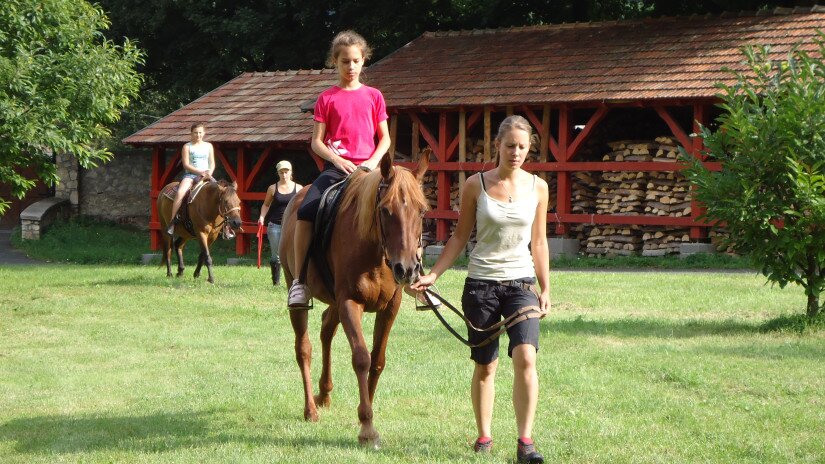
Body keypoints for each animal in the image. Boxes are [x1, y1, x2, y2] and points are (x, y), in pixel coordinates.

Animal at [278, 151, 428, 446]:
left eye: (421, 210)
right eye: (385, 210)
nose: (406, 269)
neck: (375, 253)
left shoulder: (389, 307)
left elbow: (378, 360)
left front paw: (365, 412)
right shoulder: (349, 302)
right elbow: (361, 358)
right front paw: (367, 427)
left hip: (334, 302)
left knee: (326, 329)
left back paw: (324, 394)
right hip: (298, 292)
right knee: (304, 348)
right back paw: (310, 409)